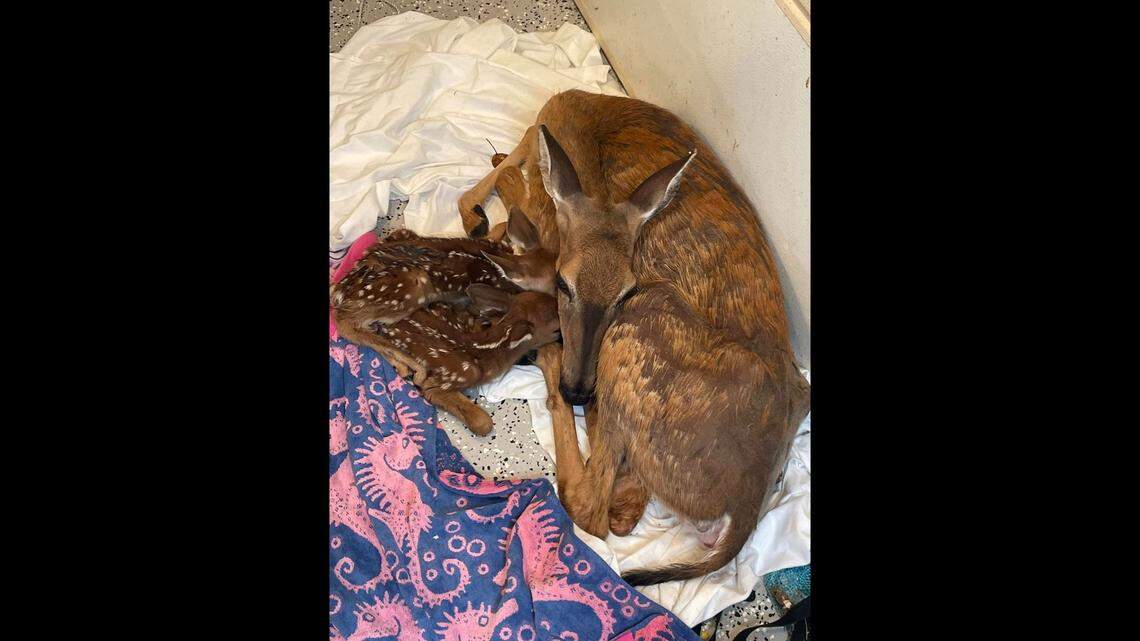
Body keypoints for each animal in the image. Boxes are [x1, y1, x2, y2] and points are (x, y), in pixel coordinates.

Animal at [456, 89, 811, 586]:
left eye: (626, 289)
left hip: (637, 333)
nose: (579, 388)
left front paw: (490, 209)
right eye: (565, 285)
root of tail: (746, 499)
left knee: (589, 506)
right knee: (621, 506)